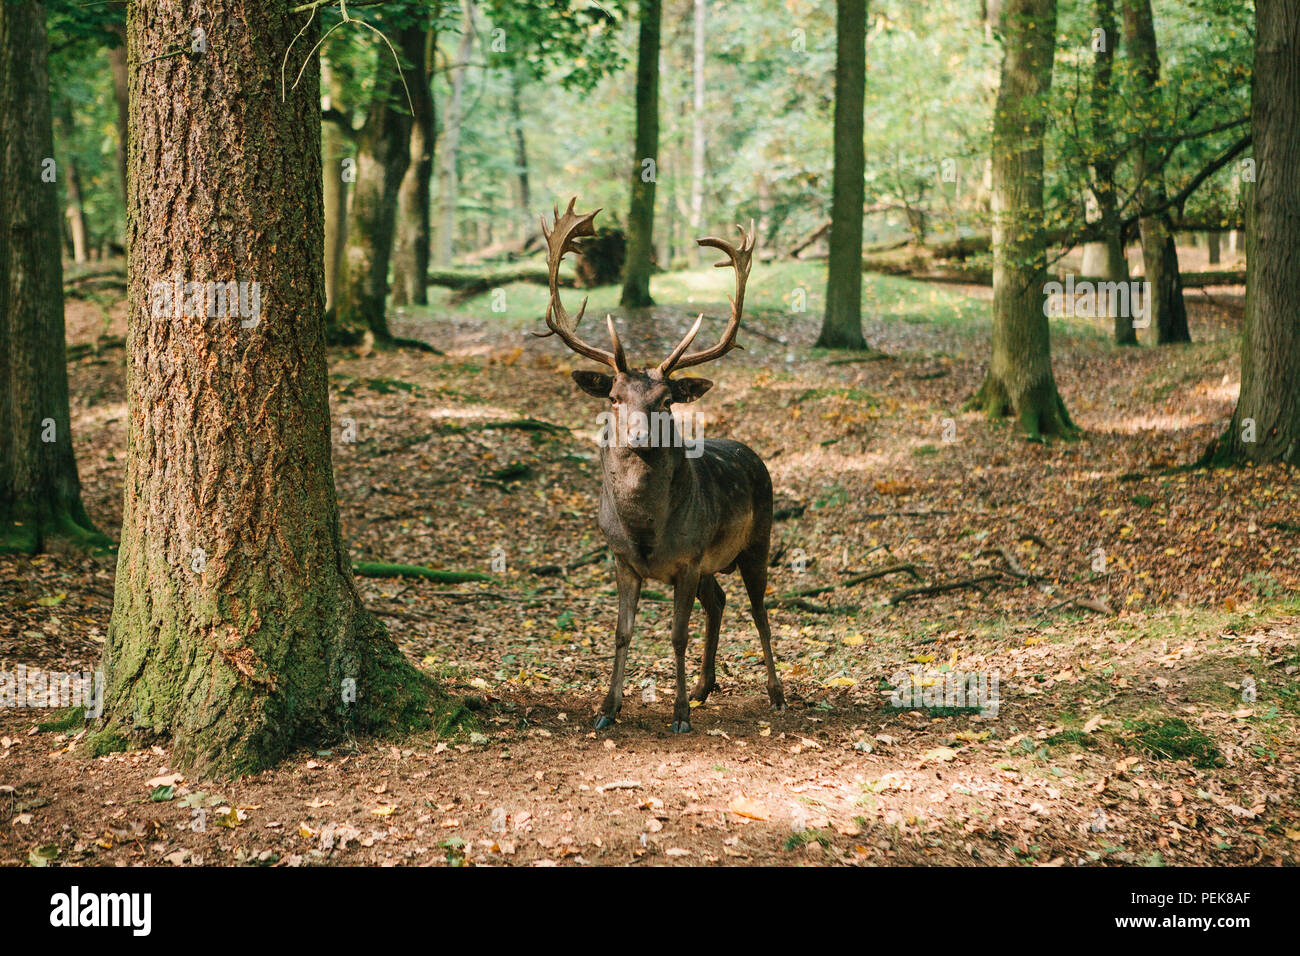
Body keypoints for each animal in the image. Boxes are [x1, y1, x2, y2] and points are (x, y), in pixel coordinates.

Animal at [535, 196, 785, 733]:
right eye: (613, 395)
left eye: (666, 400)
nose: (639, 436)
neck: (646, 532)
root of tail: (754, 454)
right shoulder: (621, 559)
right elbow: (621, 633)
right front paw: (606, 709)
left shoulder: (687, 559)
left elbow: (675, 635)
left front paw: (679, 715)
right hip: (714, 559)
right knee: (720, 600)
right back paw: (706, 686)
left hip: (758, 539)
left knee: (759, 609)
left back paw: (776, 693)